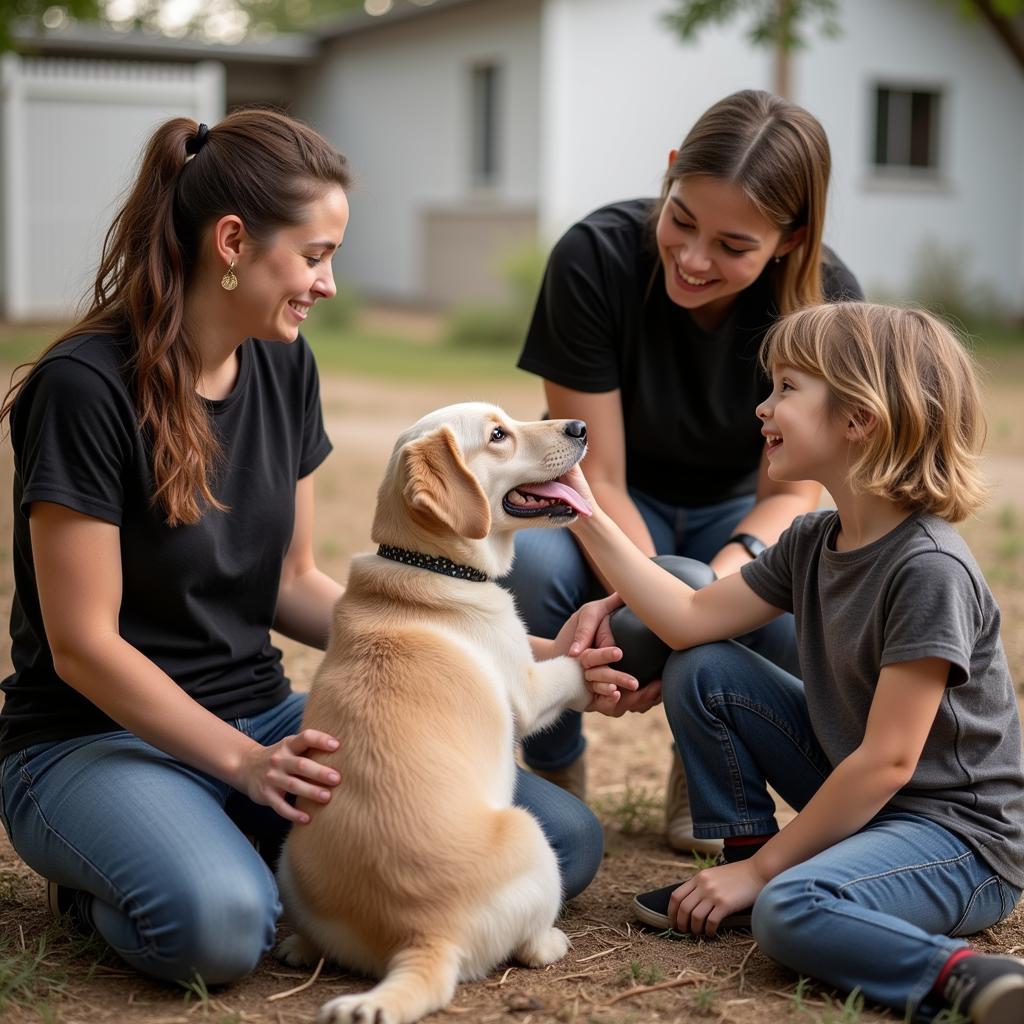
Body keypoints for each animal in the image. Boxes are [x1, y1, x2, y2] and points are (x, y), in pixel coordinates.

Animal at [276, 399, 598, 1024]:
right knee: (529, 943)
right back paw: (550, 942)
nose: (580, 427)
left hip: (288, 856)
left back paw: (296, 946)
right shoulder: (527, 687)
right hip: (532, 835)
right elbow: (569, 666)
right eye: (497, 435)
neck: (429, 565)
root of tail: (426, 936)